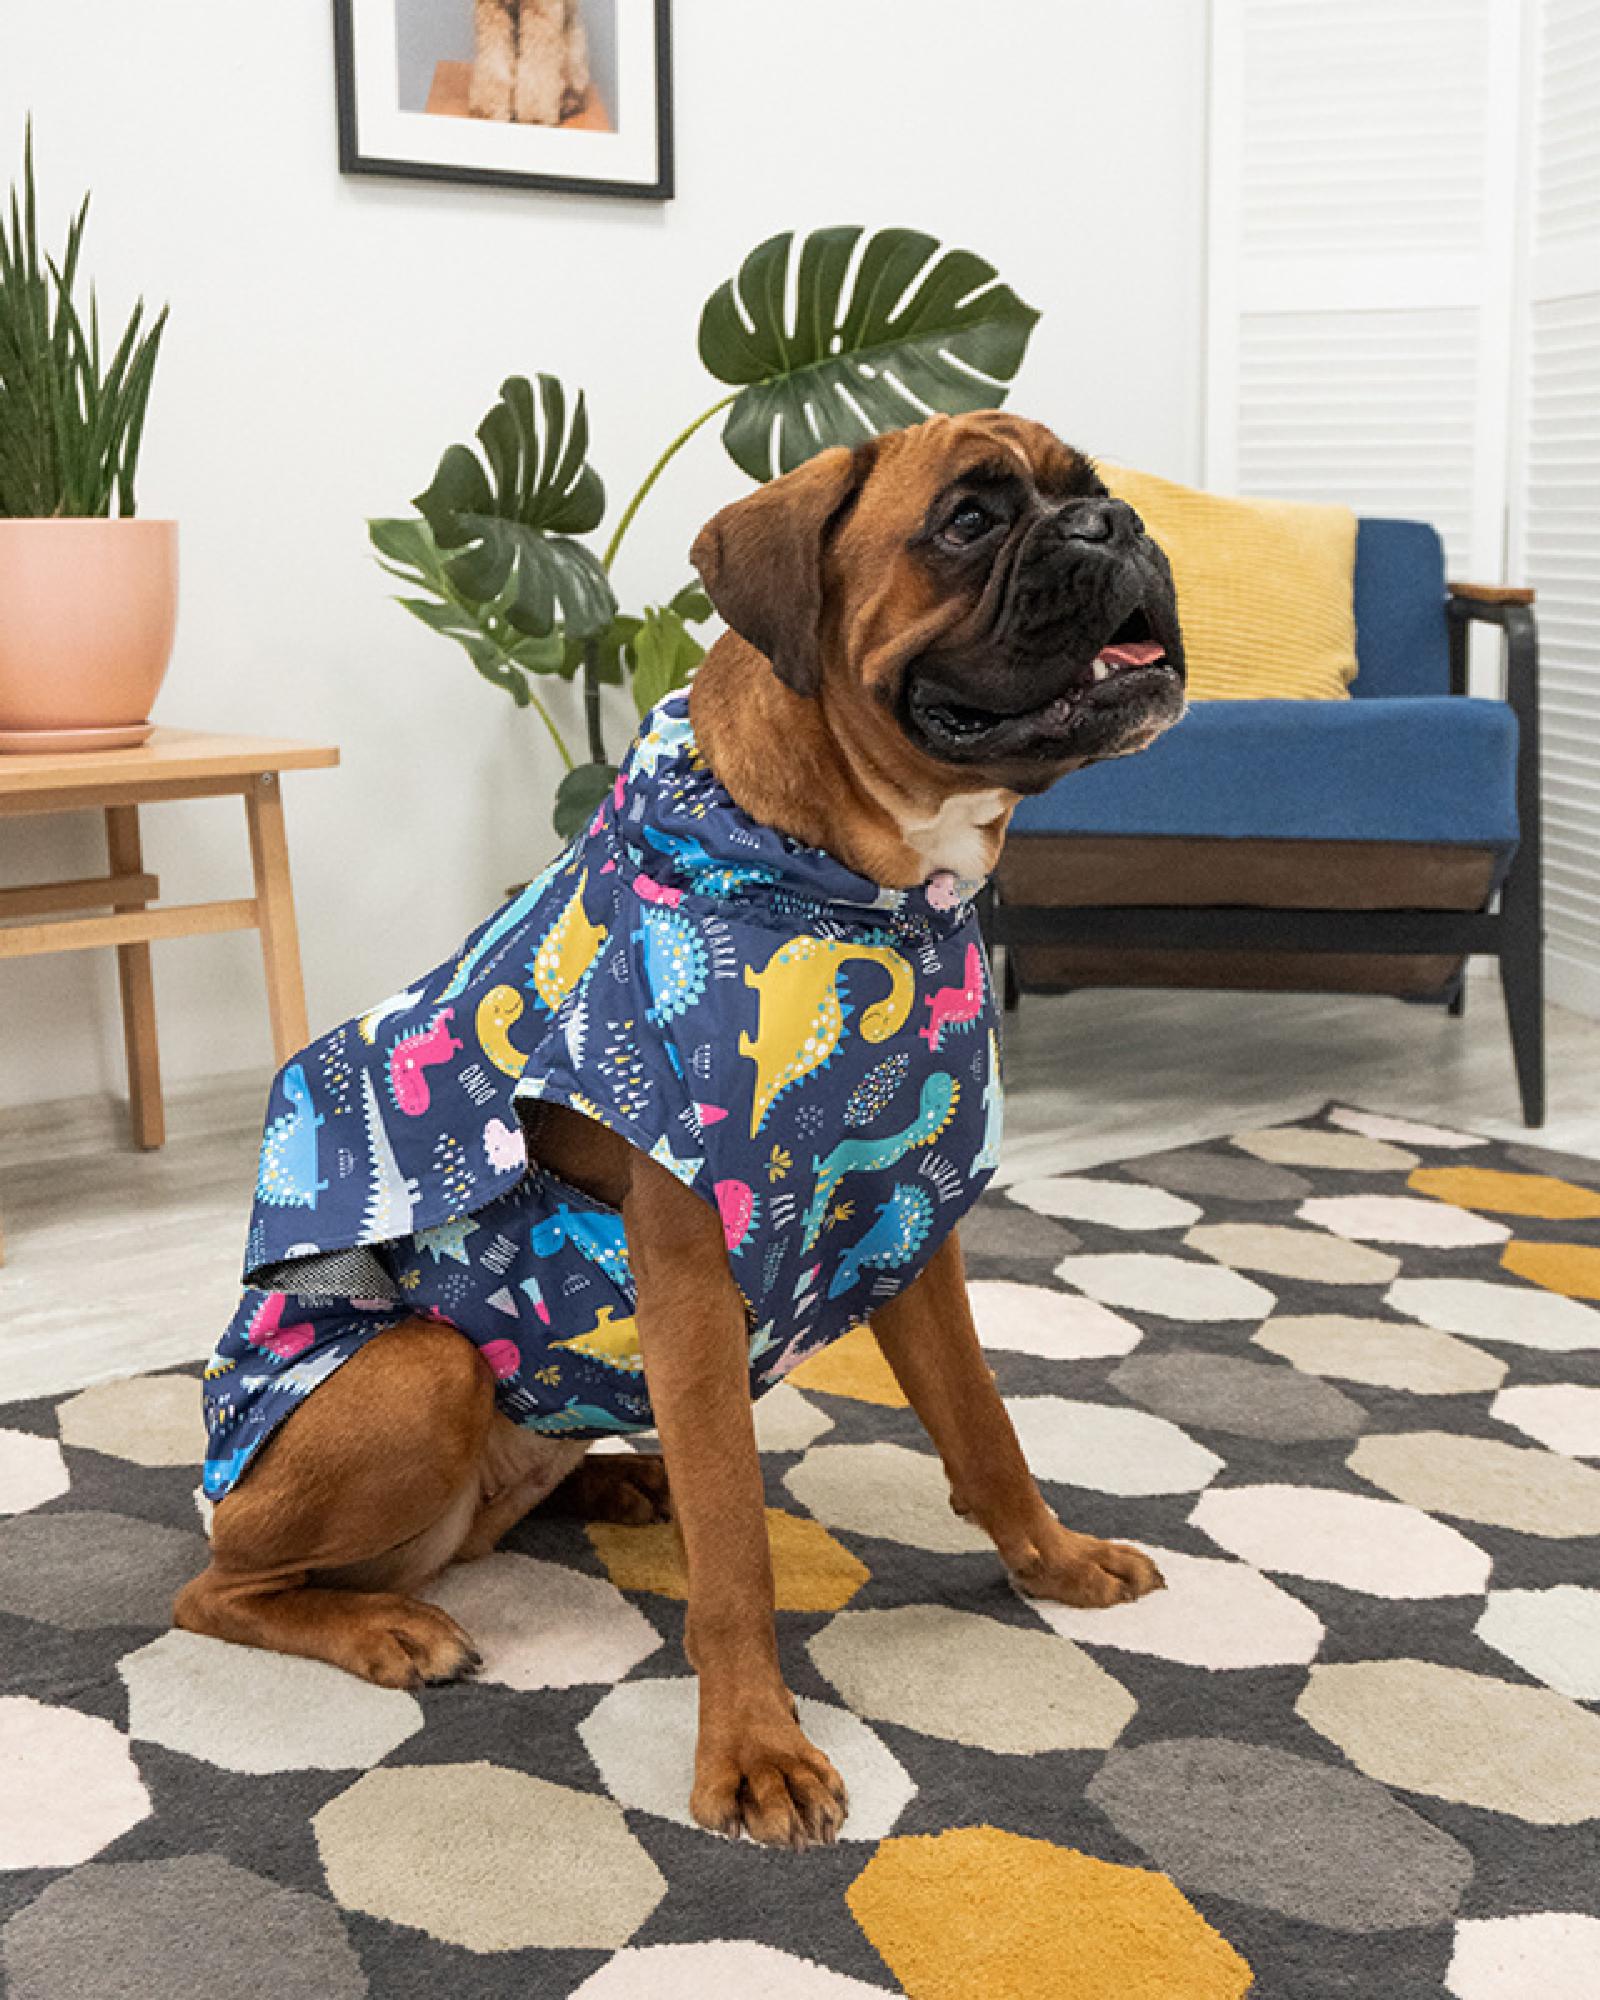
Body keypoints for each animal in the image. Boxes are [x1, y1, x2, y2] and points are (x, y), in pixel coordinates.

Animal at [175, 411, 1186, 1848]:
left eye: (1091, 491)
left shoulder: (909, 1231)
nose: (1120, 528)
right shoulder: (693, 1274)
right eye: (970, 520)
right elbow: (736, 1543)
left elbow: (986, 1428)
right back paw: (383, 1626)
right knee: (219, 1590)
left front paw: (1053, 1563)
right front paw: (756, 1748)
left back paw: (609, 1479)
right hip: (417, 1378)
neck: (853, 882)